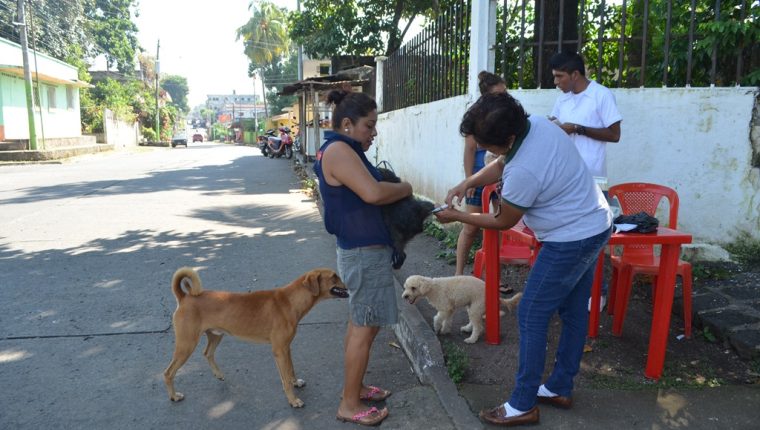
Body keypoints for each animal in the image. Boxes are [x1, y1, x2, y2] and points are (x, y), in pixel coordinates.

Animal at [165, 268, 348, 408]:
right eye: (334, 276)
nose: (348, 283)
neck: (290, 301)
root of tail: (184, 297)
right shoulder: (279, 351)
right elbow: (285, 380)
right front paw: (293, 400)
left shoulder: (286, 348)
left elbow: (291, 370)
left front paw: (296, 382)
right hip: (186, 345)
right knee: (168, 373)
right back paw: (174, 396)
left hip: (216, 335)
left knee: (207, 353)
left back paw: (218, 374)